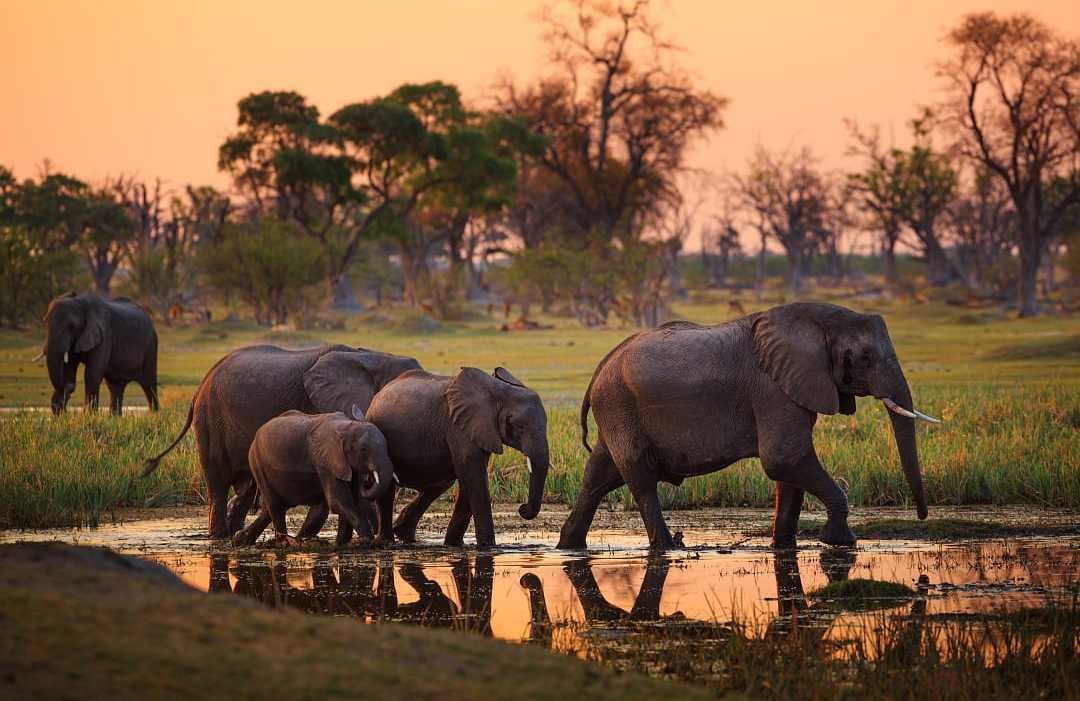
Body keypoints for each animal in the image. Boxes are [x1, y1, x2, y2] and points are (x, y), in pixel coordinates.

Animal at [231, 407, 396, 547]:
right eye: (363, 449)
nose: (368, 480)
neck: (347, 427)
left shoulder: (346, 465)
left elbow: (353, 499)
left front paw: (342, 544)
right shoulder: (325, 461)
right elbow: (338, 501)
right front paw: (366, 540)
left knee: (270, 510)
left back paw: (240, 540)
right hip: (257, 462)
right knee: (275, 506)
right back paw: (284, 542)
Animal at [364, 366, 550, 548]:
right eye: (517, 425)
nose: (522, 508)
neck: (498, 390)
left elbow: (470, 478)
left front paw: (454, 545)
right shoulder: (458, 426)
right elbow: (474, 477)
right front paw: (489, 547)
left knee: (440, 483)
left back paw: (404, 534)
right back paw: (387, 542)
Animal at [557, 302, 939, 550]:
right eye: (864, 357)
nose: (922, 516)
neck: (817, 322)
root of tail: (600, 368)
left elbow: (789, 470)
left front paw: (784, 546)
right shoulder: (773, 388)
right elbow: (783, 458)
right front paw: (840, 542)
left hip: (616, 411)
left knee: (599, 476)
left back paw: (568, 546)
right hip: (619, 406)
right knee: (641, 480)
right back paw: (669, 547)